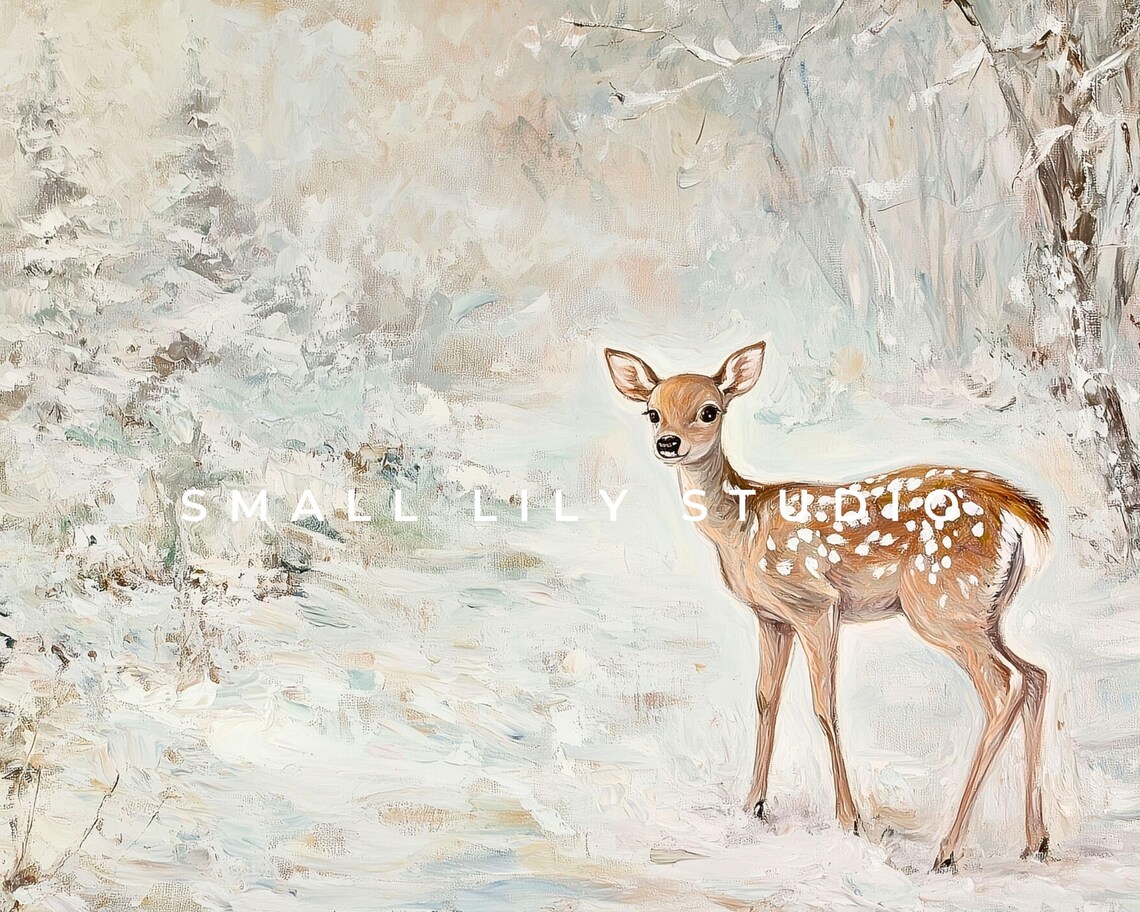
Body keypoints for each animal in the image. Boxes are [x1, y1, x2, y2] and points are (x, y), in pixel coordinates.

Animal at [605, 340, 1052, 872]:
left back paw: (947, 852)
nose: (669, 443)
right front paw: (753, 805)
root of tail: (1018, 512)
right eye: (652, 412)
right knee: (1037, 675)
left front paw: (849, 820)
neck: (741, 527)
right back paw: (1036, 842)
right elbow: (766, 697)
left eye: (709, 410)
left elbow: (824, 704)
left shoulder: (815, 604)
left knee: (1005, 687)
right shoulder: (771, 617)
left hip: (942, 604)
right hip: (988, 611)